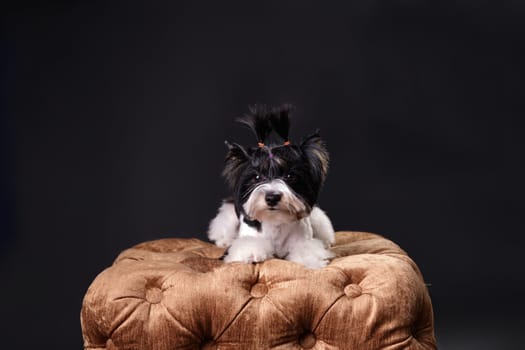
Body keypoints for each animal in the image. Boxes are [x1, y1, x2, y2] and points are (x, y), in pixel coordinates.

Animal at [207, 104, 334, 268]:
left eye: (290, 176)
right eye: (256, 177)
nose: (272, 197)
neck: (275, 221)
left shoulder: (304, 240)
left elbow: (307, 249)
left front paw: (311, 260)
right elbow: (247, 245)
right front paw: (249, 254)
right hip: (228, 218)